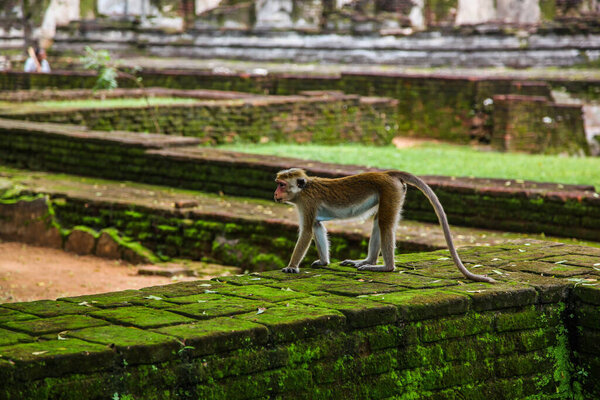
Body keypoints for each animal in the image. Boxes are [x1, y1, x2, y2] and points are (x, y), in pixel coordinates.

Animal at [274, 167, 494, 282]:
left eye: (282, 185)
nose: (275, 194)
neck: (304, 190)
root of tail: (387, 173)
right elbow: (317, 226)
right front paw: (324, 262)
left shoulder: (307, 203)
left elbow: (307, 231)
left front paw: (291, 267)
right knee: (378, 222)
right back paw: (368, 261)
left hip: (390, 190)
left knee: (385, 224)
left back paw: (385, 267)